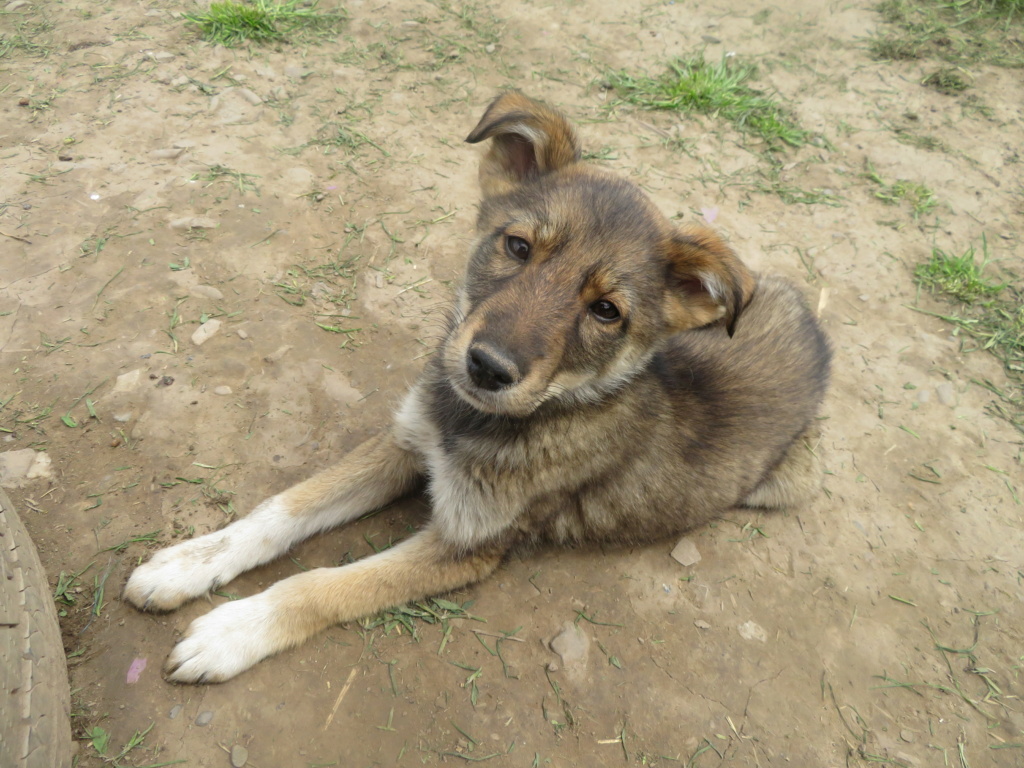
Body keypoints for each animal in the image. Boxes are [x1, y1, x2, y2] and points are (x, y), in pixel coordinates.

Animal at [125, 91, 831, 684]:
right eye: (517, 246)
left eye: (606, 311)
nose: (487, 368)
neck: (485, 419)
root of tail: (813, 323)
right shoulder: (408, 440)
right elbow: (286, 507)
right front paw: (190, 563)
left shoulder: (469, 543)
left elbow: (324, 584)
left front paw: (233, 630)